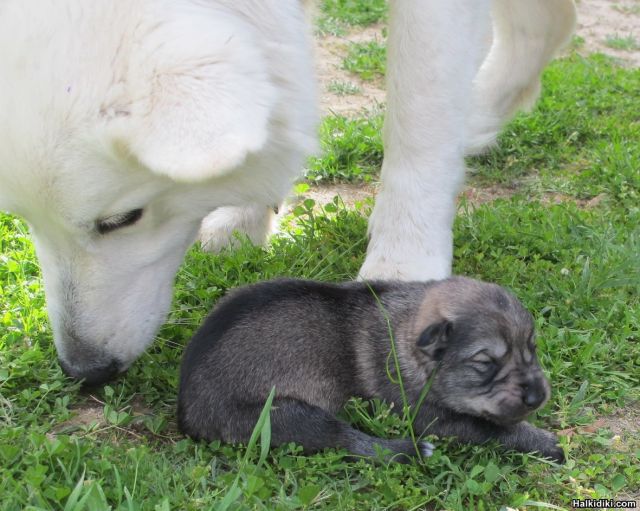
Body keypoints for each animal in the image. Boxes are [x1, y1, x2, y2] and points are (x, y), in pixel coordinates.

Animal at [0, 0, 576, 384]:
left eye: (121, 220)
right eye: (26, 223)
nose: (84, 369)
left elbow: (420, 111)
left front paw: (402, 267)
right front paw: (241, 218)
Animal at [178, 278, 564, 466]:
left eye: (532, 347)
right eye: (485, 363)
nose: (537, 396)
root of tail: (186, 412)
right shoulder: (429, 418)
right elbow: (491, 429)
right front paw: (545, 442)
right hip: (284, 416)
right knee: (348, 441)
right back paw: (411, 452)